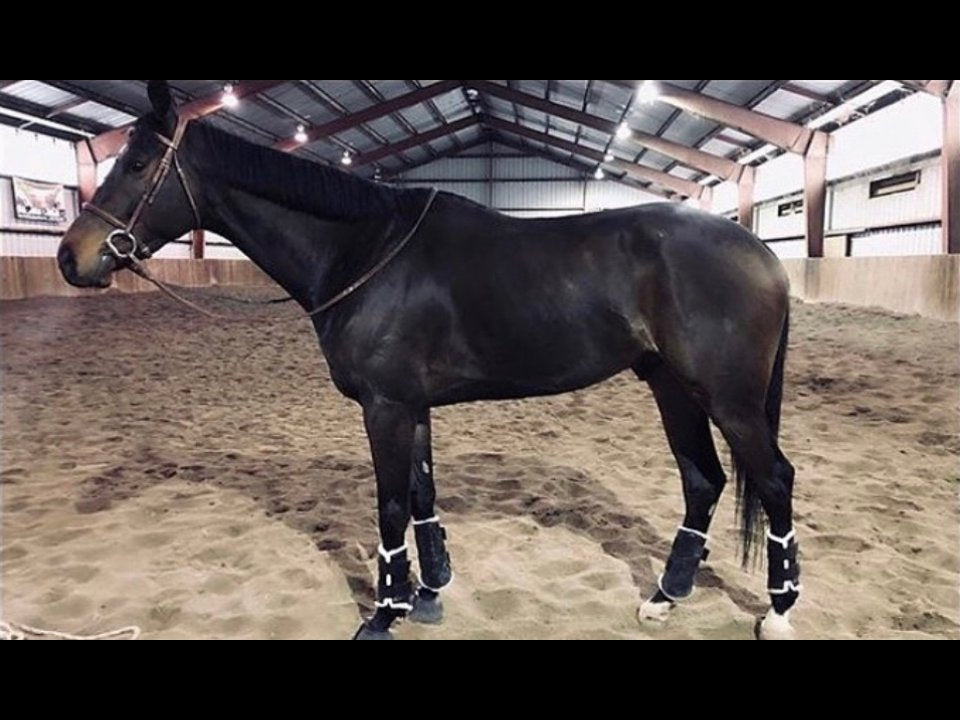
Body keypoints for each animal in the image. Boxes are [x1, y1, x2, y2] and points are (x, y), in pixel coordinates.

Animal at [57, 80, 800, 640]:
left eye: (139, 164)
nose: (71, 257)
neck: (364, 250)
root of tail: (759, 252)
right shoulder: (409, 406)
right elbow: (420, 495)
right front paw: (430, 590)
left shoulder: (384, 408)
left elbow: (389, 506)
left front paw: (383, 614)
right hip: (671, 386)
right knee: (703, 480)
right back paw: (666, 596)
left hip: (728, 399)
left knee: (774, 480)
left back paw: (780, 610)